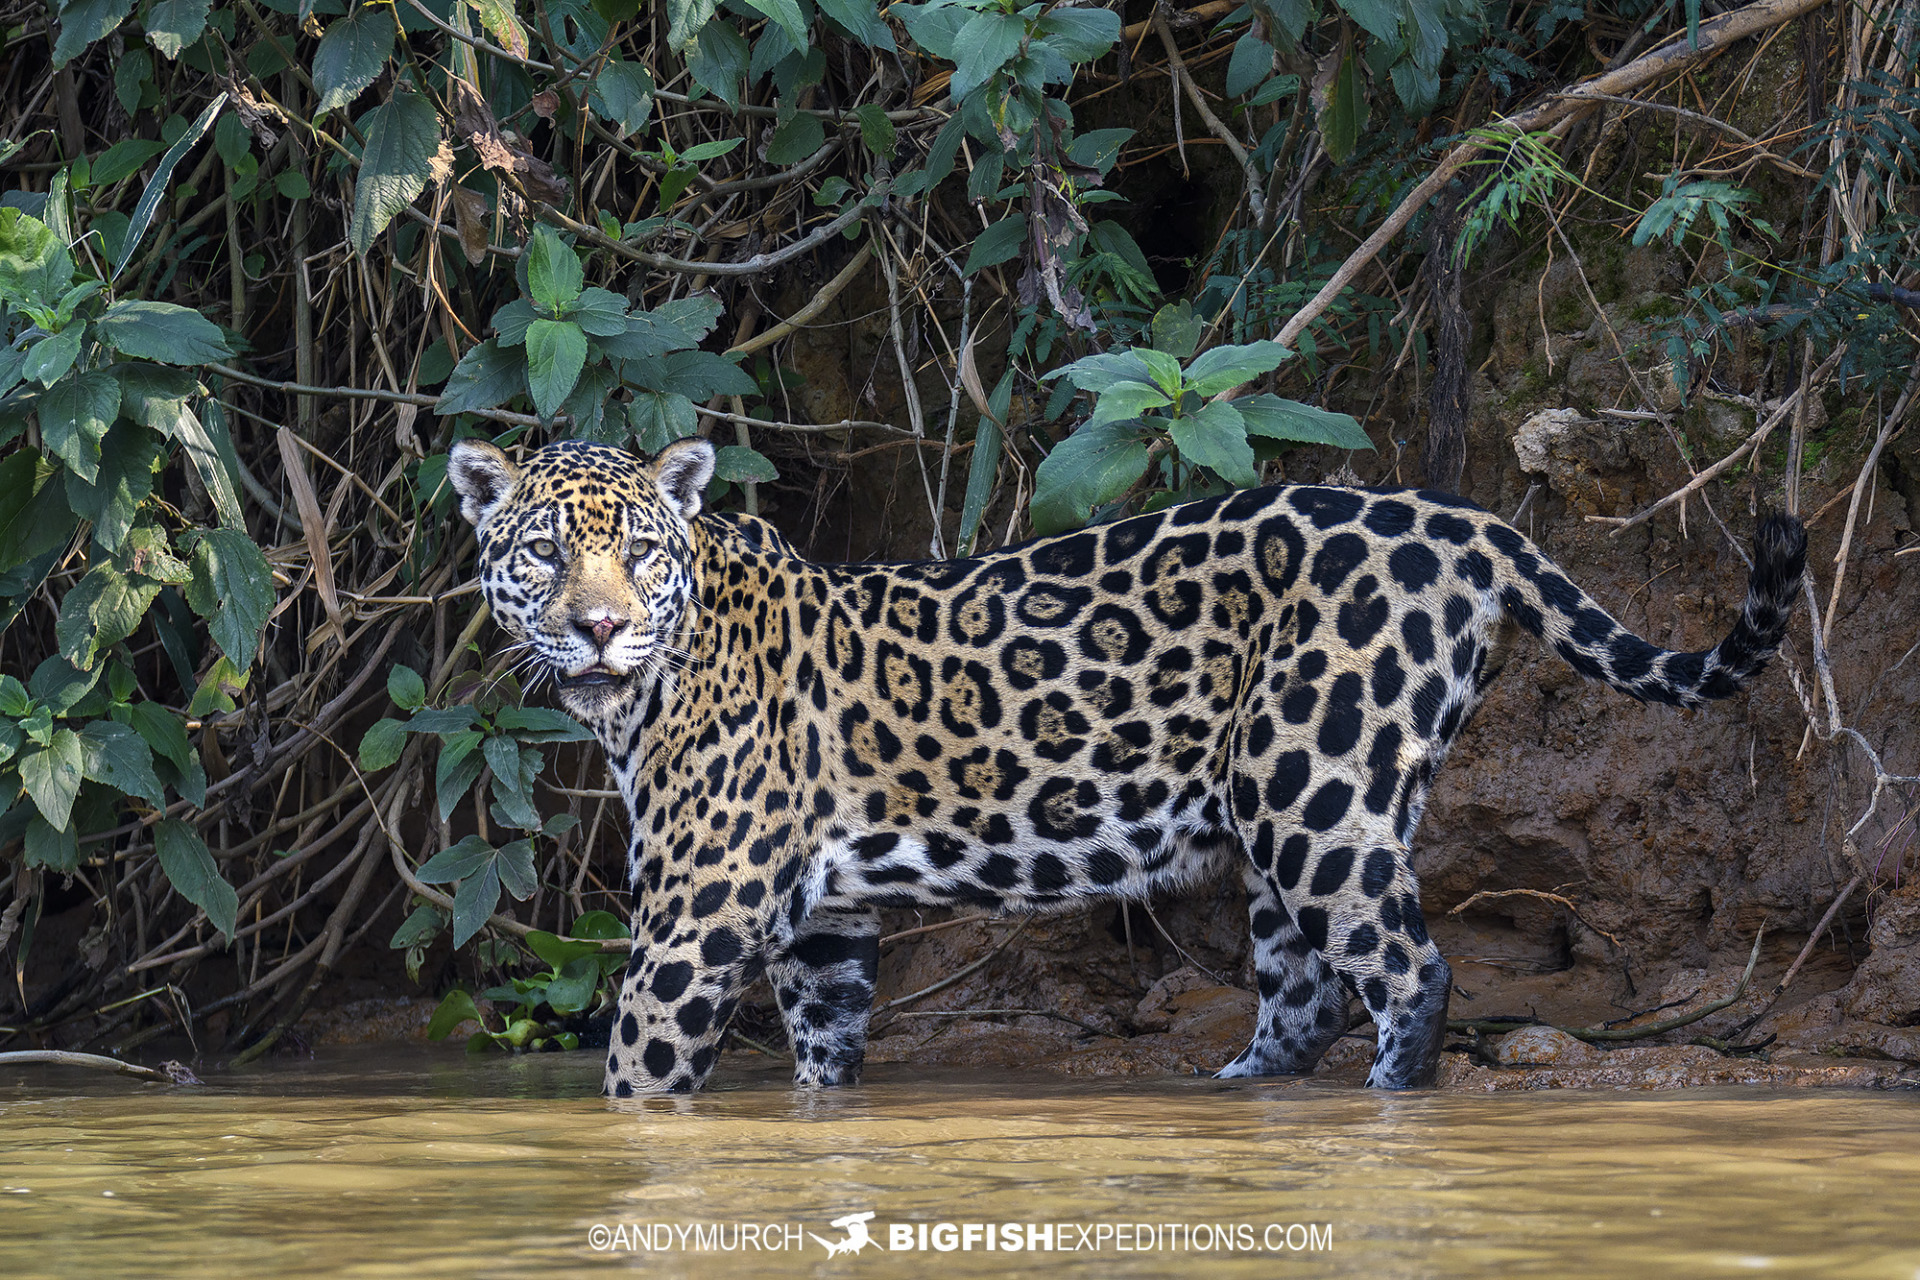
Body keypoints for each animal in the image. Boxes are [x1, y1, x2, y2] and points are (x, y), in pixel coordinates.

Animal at [447, 435, 1806, 1097]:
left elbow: (638, 1076)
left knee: (1410, 971)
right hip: (1289, 807)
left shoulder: (696, 918)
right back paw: (1238, 1093)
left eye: (636, 550)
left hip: (1316, 786)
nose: (599, 628)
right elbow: (825, 1063)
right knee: (1304, 994)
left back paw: (1390, 1099)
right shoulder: (826, 923)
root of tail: (1458, 517)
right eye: (543, 553)